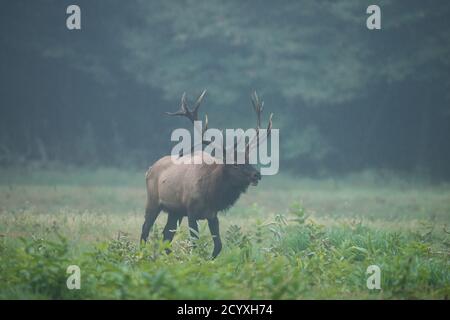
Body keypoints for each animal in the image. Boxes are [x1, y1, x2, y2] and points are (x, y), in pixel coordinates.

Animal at [141, 90, 272, 258]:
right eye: (235, 164)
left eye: (249, 160)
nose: (257, 175)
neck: (211, 195)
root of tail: (149, 169)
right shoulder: (191, 212)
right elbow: (195, 244)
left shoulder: (212, 215)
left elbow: (218, 246)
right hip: (153, 201)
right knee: (145, 229)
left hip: (175, 211)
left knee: (166, 235)